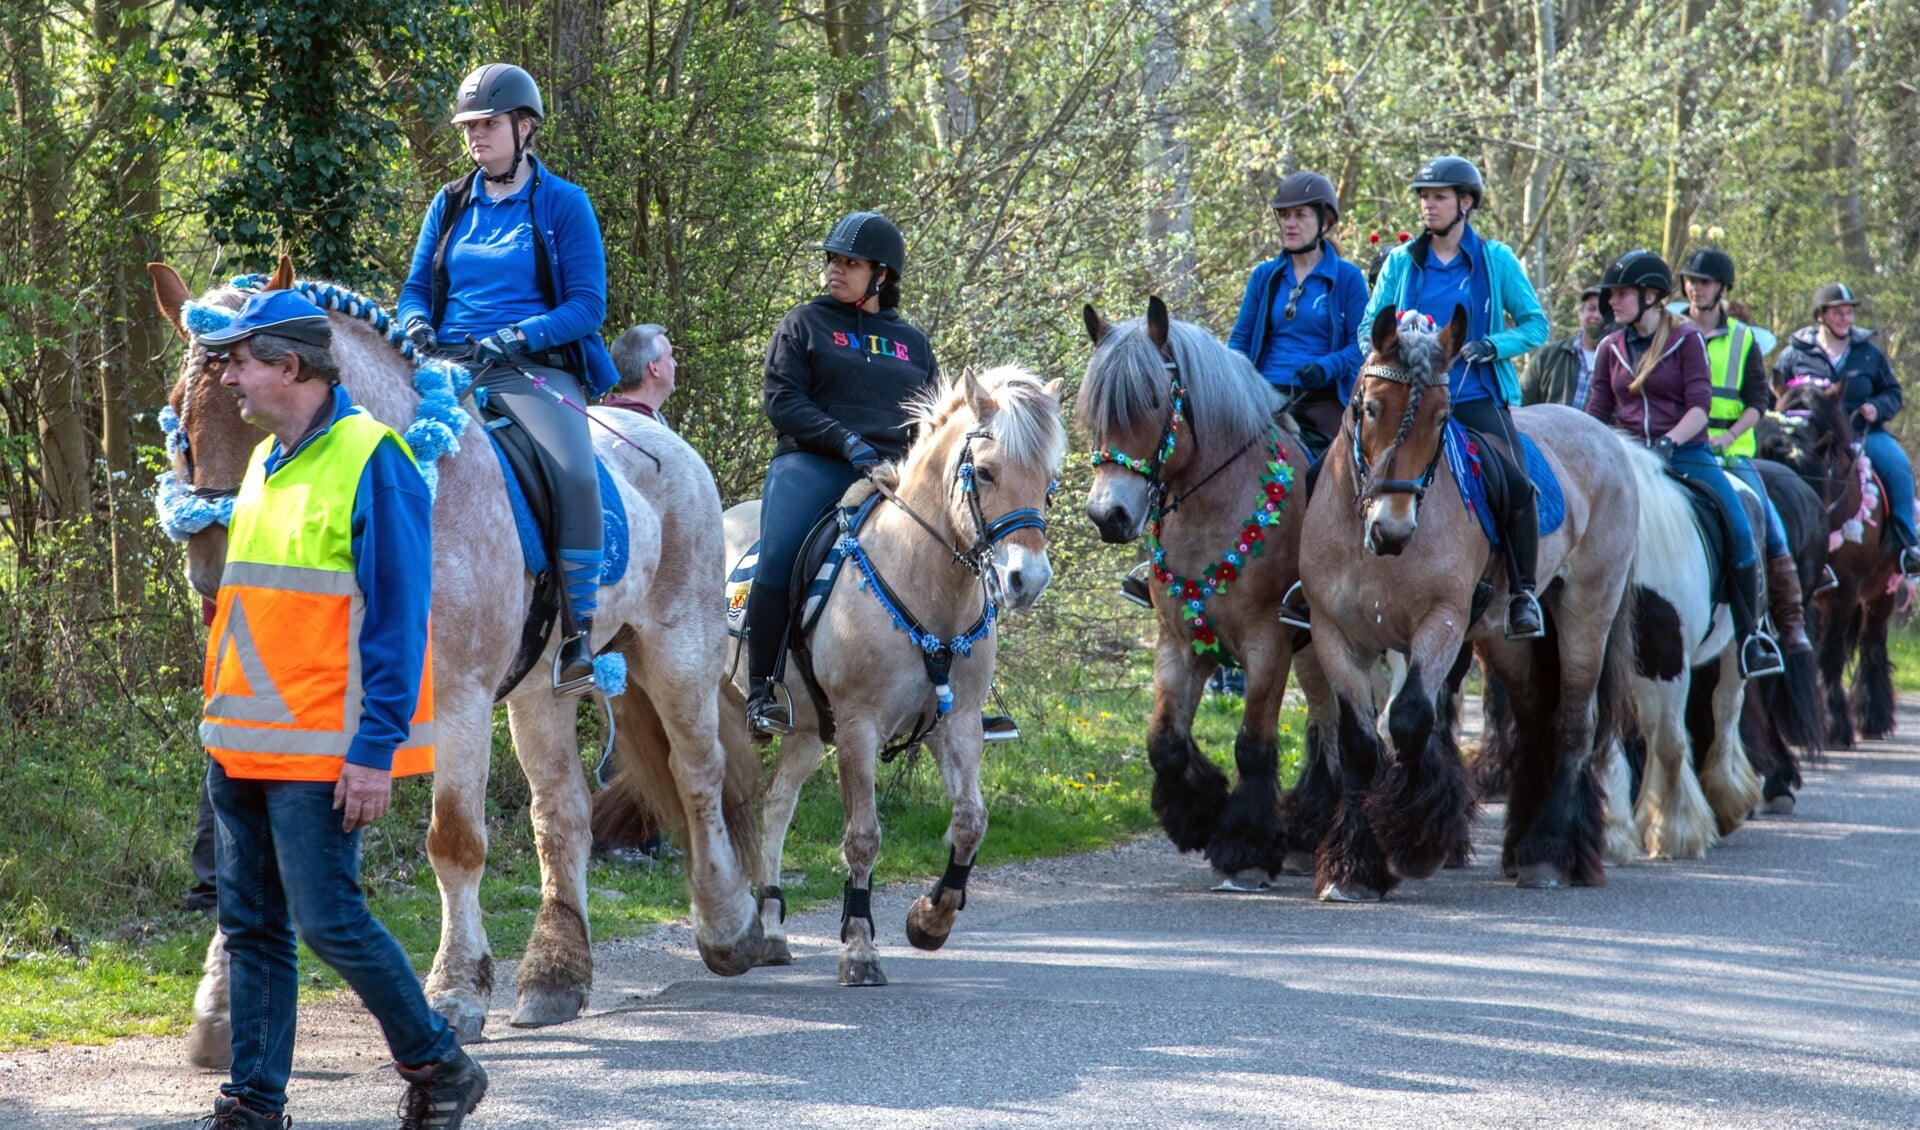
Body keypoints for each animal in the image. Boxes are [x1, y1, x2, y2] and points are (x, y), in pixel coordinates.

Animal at [149, 257, 764, 1059]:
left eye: (259, 420)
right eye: (178, 419)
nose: (216, 578)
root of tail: (663, 438)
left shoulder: (459, 697)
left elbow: (456, 841)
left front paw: (455, 990)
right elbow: (245, 852)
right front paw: (221, 1010)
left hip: (677, 652)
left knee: (698, 776)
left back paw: (728, 926)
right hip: (542, 689)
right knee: (562, 812)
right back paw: (555, 976)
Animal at [1075, 297, 1328, 890]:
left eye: (1151, 401)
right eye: (1094, 408)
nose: (1107, 516)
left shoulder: (1267, 642)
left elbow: (1253, 744)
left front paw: (1245, 845)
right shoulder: (1179, 639)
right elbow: (1164, 740)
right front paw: (1198, 813)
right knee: (1328, 726)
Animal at [1290, 306, 1635, 890]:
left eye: (1441, 417)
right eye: (1371, 408)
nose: (1392, 530)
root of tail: (1604, 435)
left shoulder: (1442, 623)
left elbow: (1409, 717)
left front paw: (1416, 843)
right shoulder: (1333, 632)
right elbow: (1357, 741)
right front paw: (1353, 865)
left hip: (1588, 611)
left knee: (1573, 724)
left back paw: (1549, 850)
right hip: (1505, 639)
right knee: (1535, 718)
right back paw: (1522, 845)